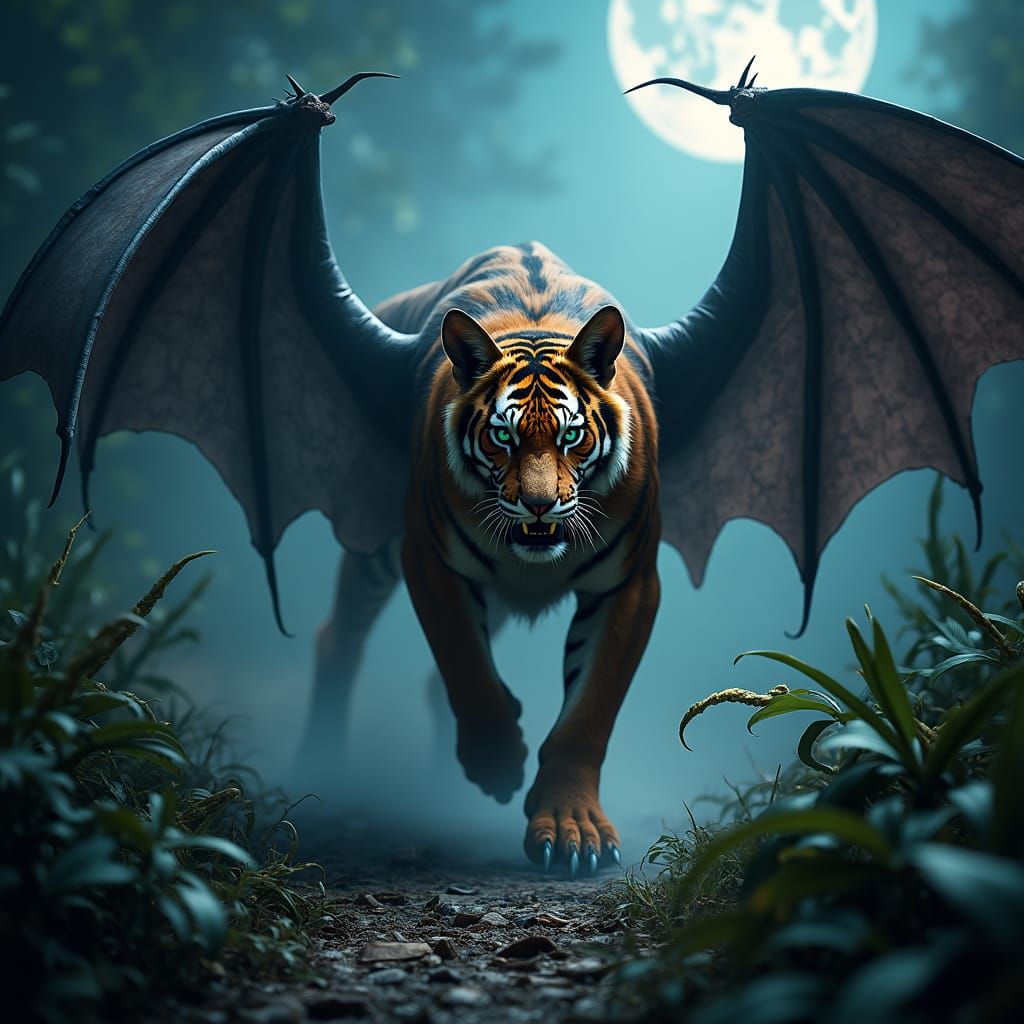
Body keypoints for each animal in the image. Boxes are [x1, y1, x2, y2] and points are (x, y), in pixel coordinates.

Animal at [306, 241, 661, 873]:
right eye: (503, 437)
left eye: (571, 437)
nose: (539, 505)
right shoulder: (428, 558)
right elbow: (465, 665)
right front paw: (498, 766)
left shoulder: (632, 582)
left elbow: (588, 711)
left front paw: (573, 830)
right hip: (376, 551)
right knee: (338, 636)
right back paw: (317, 763)